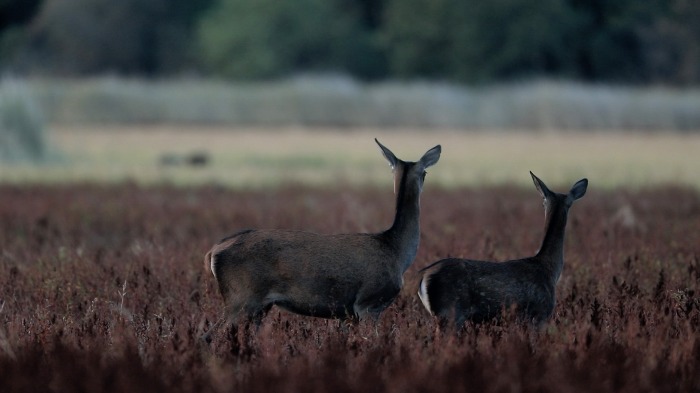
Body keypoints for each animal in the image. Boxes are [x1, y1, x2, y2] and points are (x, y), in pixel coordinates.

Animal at [205, 137, 440, 334]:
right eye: (426, 173)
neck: (396, 252)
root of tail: (213, 252)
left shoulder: (346, 313)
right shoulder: (369, 302)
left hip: (257, 307)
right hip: (241, 298)